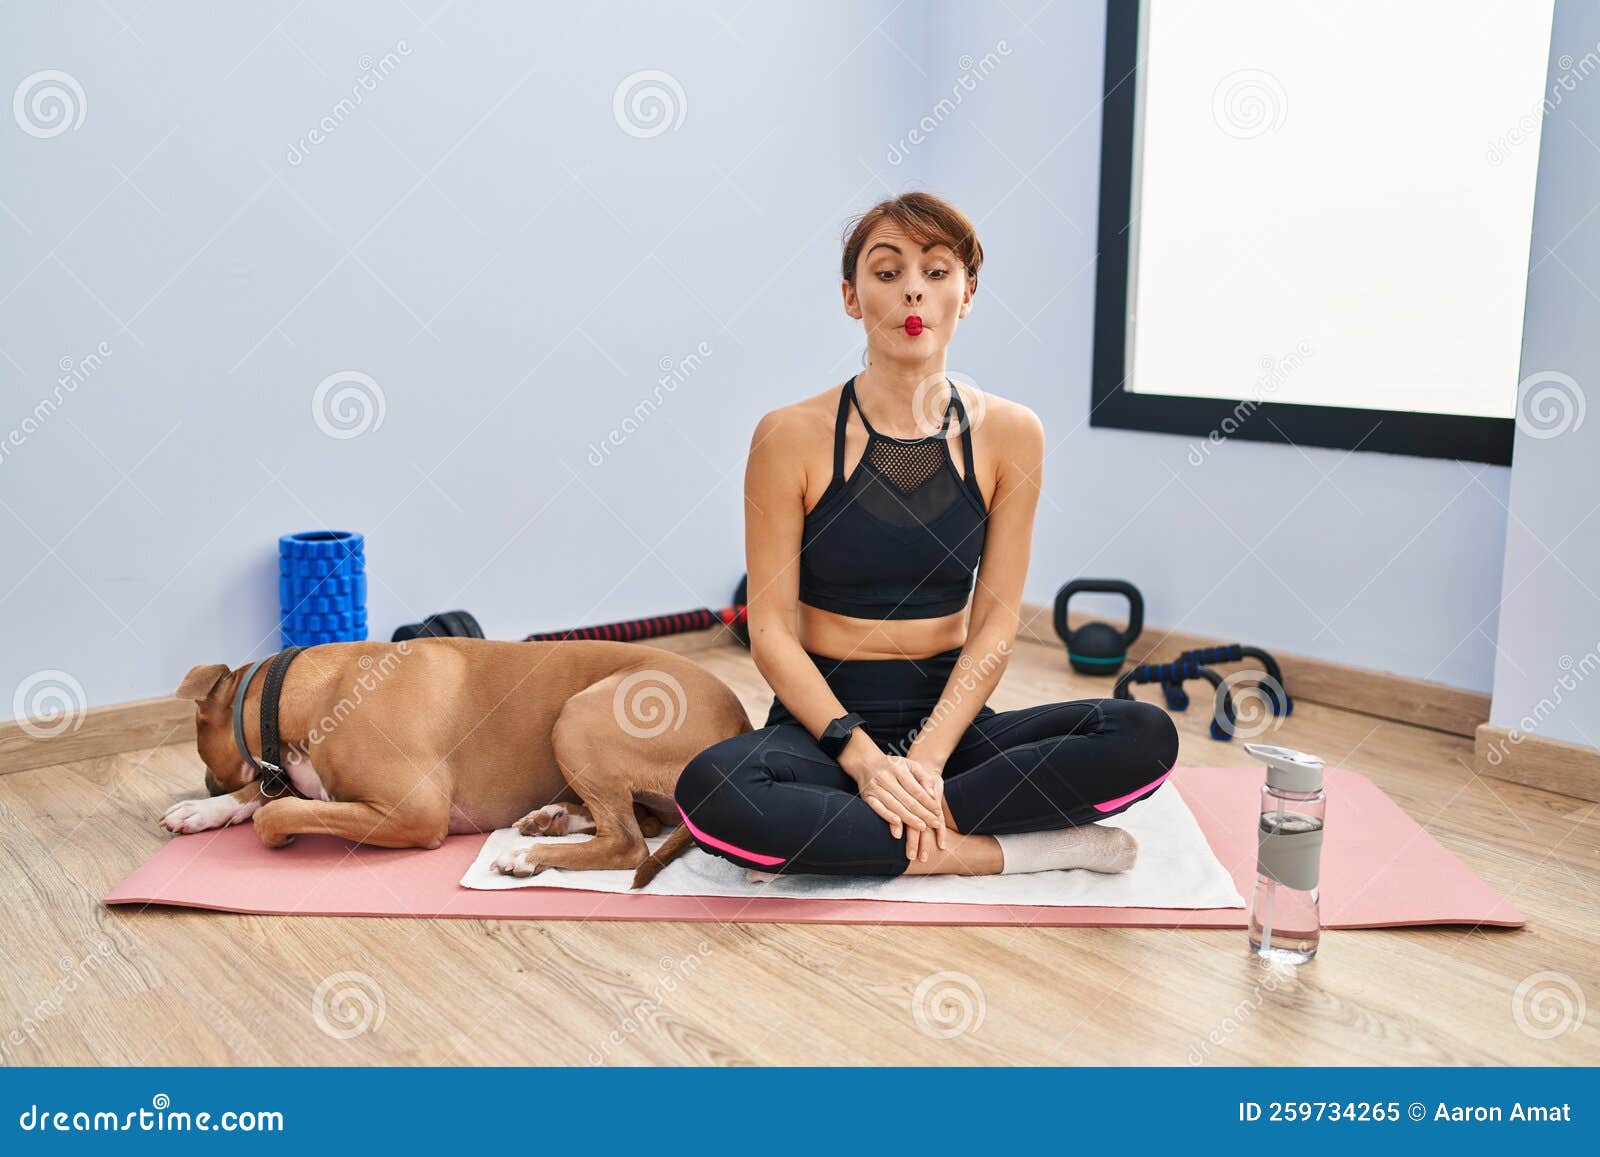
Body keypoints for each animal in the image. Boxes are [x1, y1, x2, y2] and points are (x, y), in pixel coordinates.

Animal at [165, 636, 752, 889]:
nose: (205, 782)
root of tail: (741, 722)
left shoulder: (413, 813)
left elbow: (274, 812)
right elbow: (267, 793)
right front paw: (203, 810)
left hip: (578, 716)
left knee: (631, 843)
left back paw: (529, 856)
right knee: (642, 823)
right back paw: (551, 819)